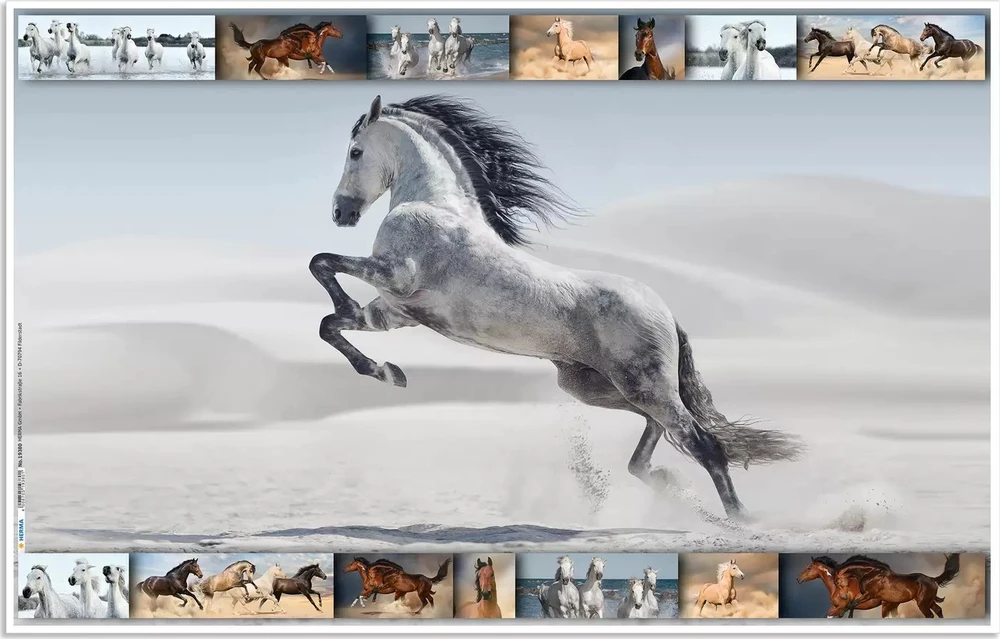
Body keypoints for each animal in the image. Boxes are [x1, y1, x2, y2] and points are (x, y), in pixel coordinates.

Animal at [312, 95, 802, 522]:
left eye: (355, 152)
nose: (339, 212)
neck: (435, 204)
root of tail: (665, 312)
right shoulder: (394, 312)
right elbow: (329, 324)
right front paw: (387, 372)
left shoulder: (397, 276)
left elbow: (322, 264)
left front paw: (369, 343)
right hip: (599, 388)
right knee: (659, 432)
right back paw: (666, 482)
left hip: (643, 385)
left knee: (703, 443)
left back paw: (739, 520)